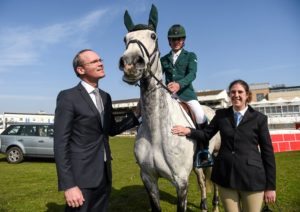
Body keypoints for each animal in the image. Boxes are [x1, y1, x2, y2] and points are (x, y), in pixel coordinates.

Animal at [119, 4, 220, 210]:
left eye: (153, 36)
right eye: (125, 39)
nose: (130, 63)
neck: (157, 132)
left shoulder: (181, 182)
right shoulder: (148, 179)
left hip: (214, 156)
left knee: (214, 182)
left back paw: (214, 205)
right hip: (197, 165)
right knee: (202, 181)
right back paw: (204, 205)